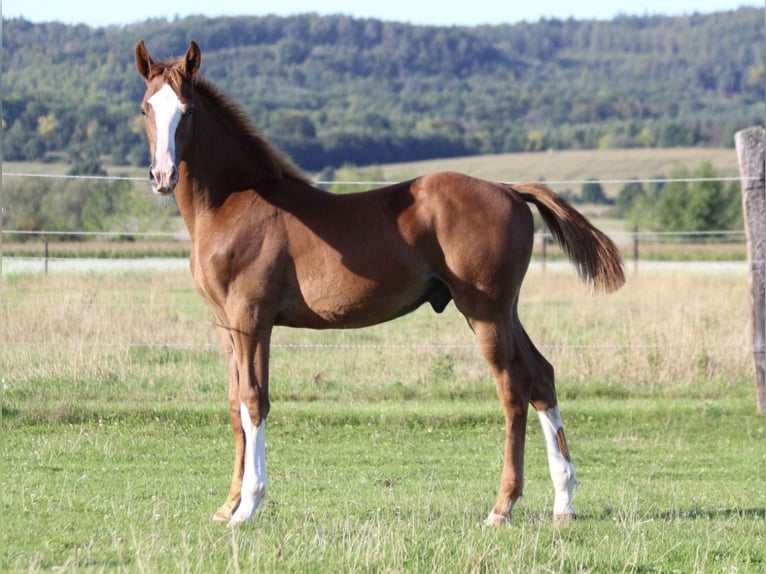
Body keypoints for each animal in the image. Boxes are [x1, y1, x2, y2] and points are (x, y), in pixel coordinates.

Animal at [134, 39, 625, 527]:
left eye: (188, 110)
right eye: (146, 108)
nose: (163, 176)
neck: (233, 203)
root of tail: (509, 189)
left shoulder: (252, 317)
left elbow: (255, 401)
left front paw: (249, 505)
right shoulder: (226, 325)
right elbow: (235, 404)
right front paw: (228, 505)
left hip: (485, 312)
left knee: (512, 390)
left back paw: (502, 506)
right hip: (506, 310)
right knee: (541, 376)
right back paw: (564, 501)